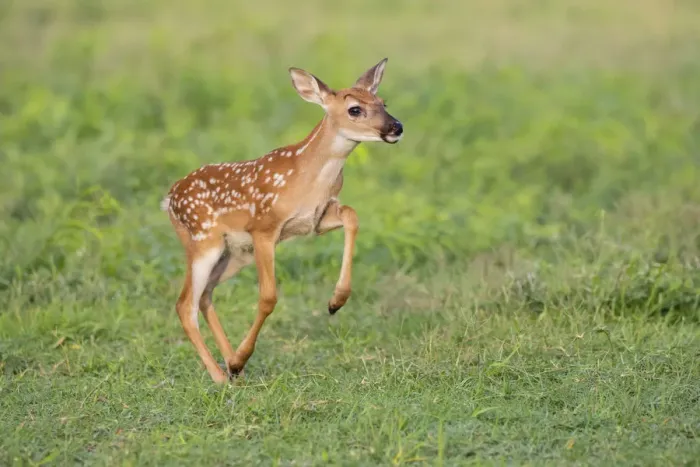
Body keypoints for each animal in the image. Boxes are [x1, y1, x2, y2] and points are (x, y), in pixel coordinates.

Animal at [160, 58, 403, 383]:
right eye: (355, 109)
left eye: (383, 103)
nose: (396, 126)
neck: (309, 178)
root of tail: (170, 198)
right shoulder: (264, 227)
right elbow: (268, 297)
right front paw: (242, 357)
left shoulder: (315, 219)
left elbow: (352, 215)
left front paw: (336, 301)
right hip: (203, 241)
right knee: (185, 304)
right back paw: (222, 374)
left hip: (234, 254)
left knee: (205, 296)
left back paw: (232, 365)